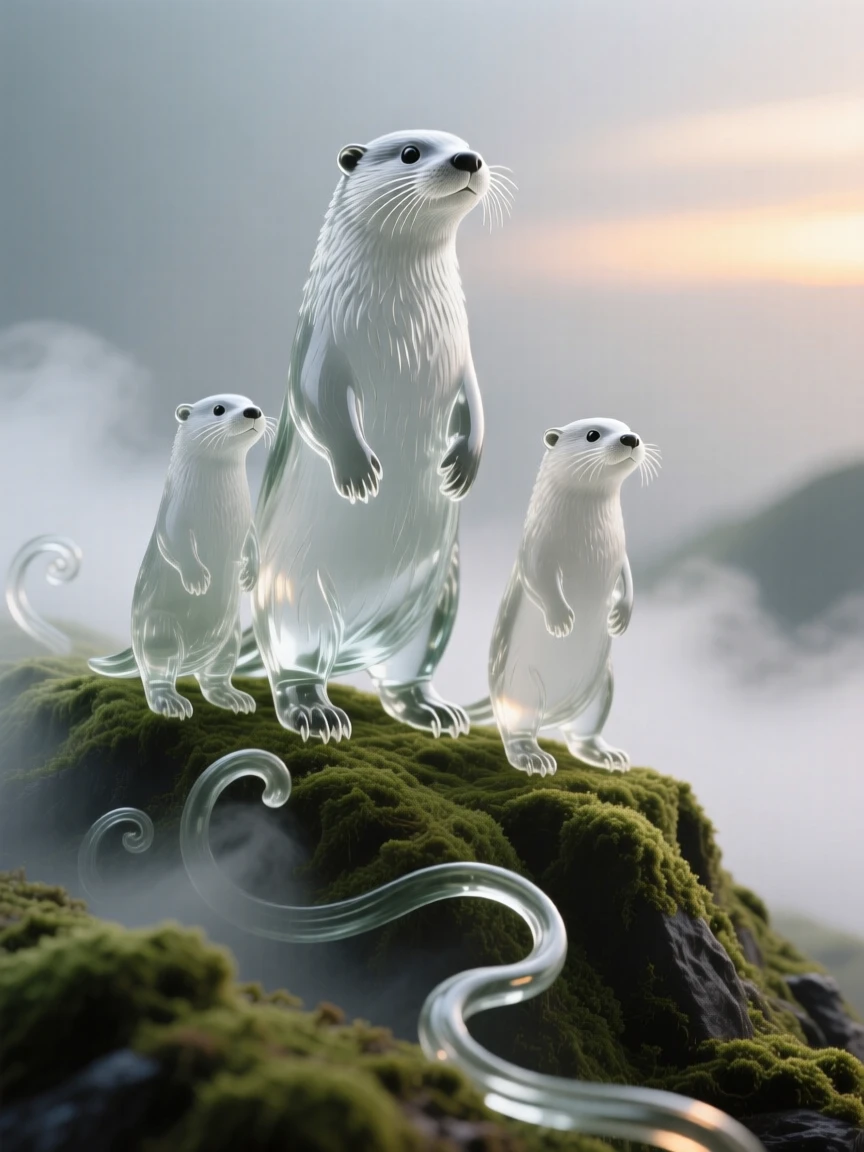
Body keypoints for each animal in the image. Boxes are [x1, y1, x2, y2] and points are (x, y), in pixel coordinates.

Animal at [89, 394, 269, 719]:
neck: (221, 510)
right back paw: (171, 702)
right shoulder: (174, 514)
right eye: (219, 408)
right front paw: (197, 579)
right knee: (157, 673)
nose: (253, 411)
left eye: (250, 402)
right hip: (160, 631)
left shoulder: (248, 522)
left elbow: (252, 543)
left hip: (231, 638)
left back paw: (234, 698)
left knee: (214, 676)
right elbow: (173, 542)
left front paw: (250, 576)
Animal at [243, 129, 512, 742]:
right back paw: (314, 711)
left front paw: (464, 464)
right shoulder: (321, 342)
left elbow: (477, 402)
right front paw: (358, 471)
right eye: (411, 152)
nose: (468, 160)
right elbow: (319, 402)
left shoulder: (462, 355)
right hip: (297, 596)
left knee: (403, 672)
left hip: (435, 601)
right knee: (294, 660)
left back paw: (433, 711)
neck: (405, 330)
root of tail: (356, 638)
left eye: (467, 144)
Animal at [466, 418, 661, 776]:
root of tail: (555, 712)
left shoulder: (620, 552)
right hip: (520, 685)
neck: (591, 542)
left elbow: (627, 575)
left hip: (601, 689)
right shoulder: (536, 546)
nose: (631, 438)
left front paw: (621, 617)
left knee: (582, 734)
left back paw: (607, 755)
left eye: (627, 427)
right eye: (593, 434)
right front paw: (561, 620)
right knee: (517, 727)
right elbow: (538, 579)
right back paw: (532, 757)